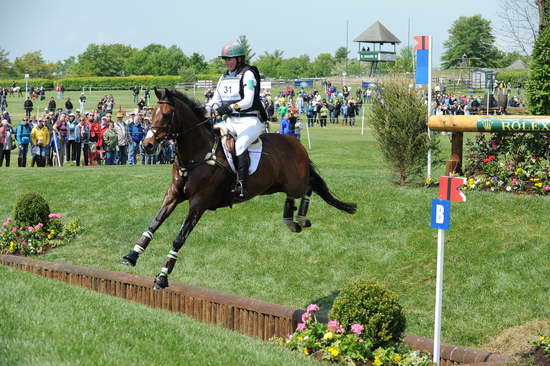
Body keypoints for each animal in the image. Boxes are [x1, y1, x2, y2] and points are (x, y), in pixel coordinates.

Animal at [122, 88, 358, 288]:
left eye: (167, 115)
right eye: (151, 113)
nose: (147, 145)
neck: (196, 156)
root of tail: (298, 144)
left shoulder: (198, 203)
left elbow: (180, 237)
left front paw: (163, 276)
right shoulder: (173, 195)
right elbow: (154, 223)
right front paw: (132, 255)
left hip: (296, 182)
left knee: (309, 187)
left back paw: (298, 218)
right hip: (279, 185)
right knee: (297, 193)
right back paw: (290, 219)